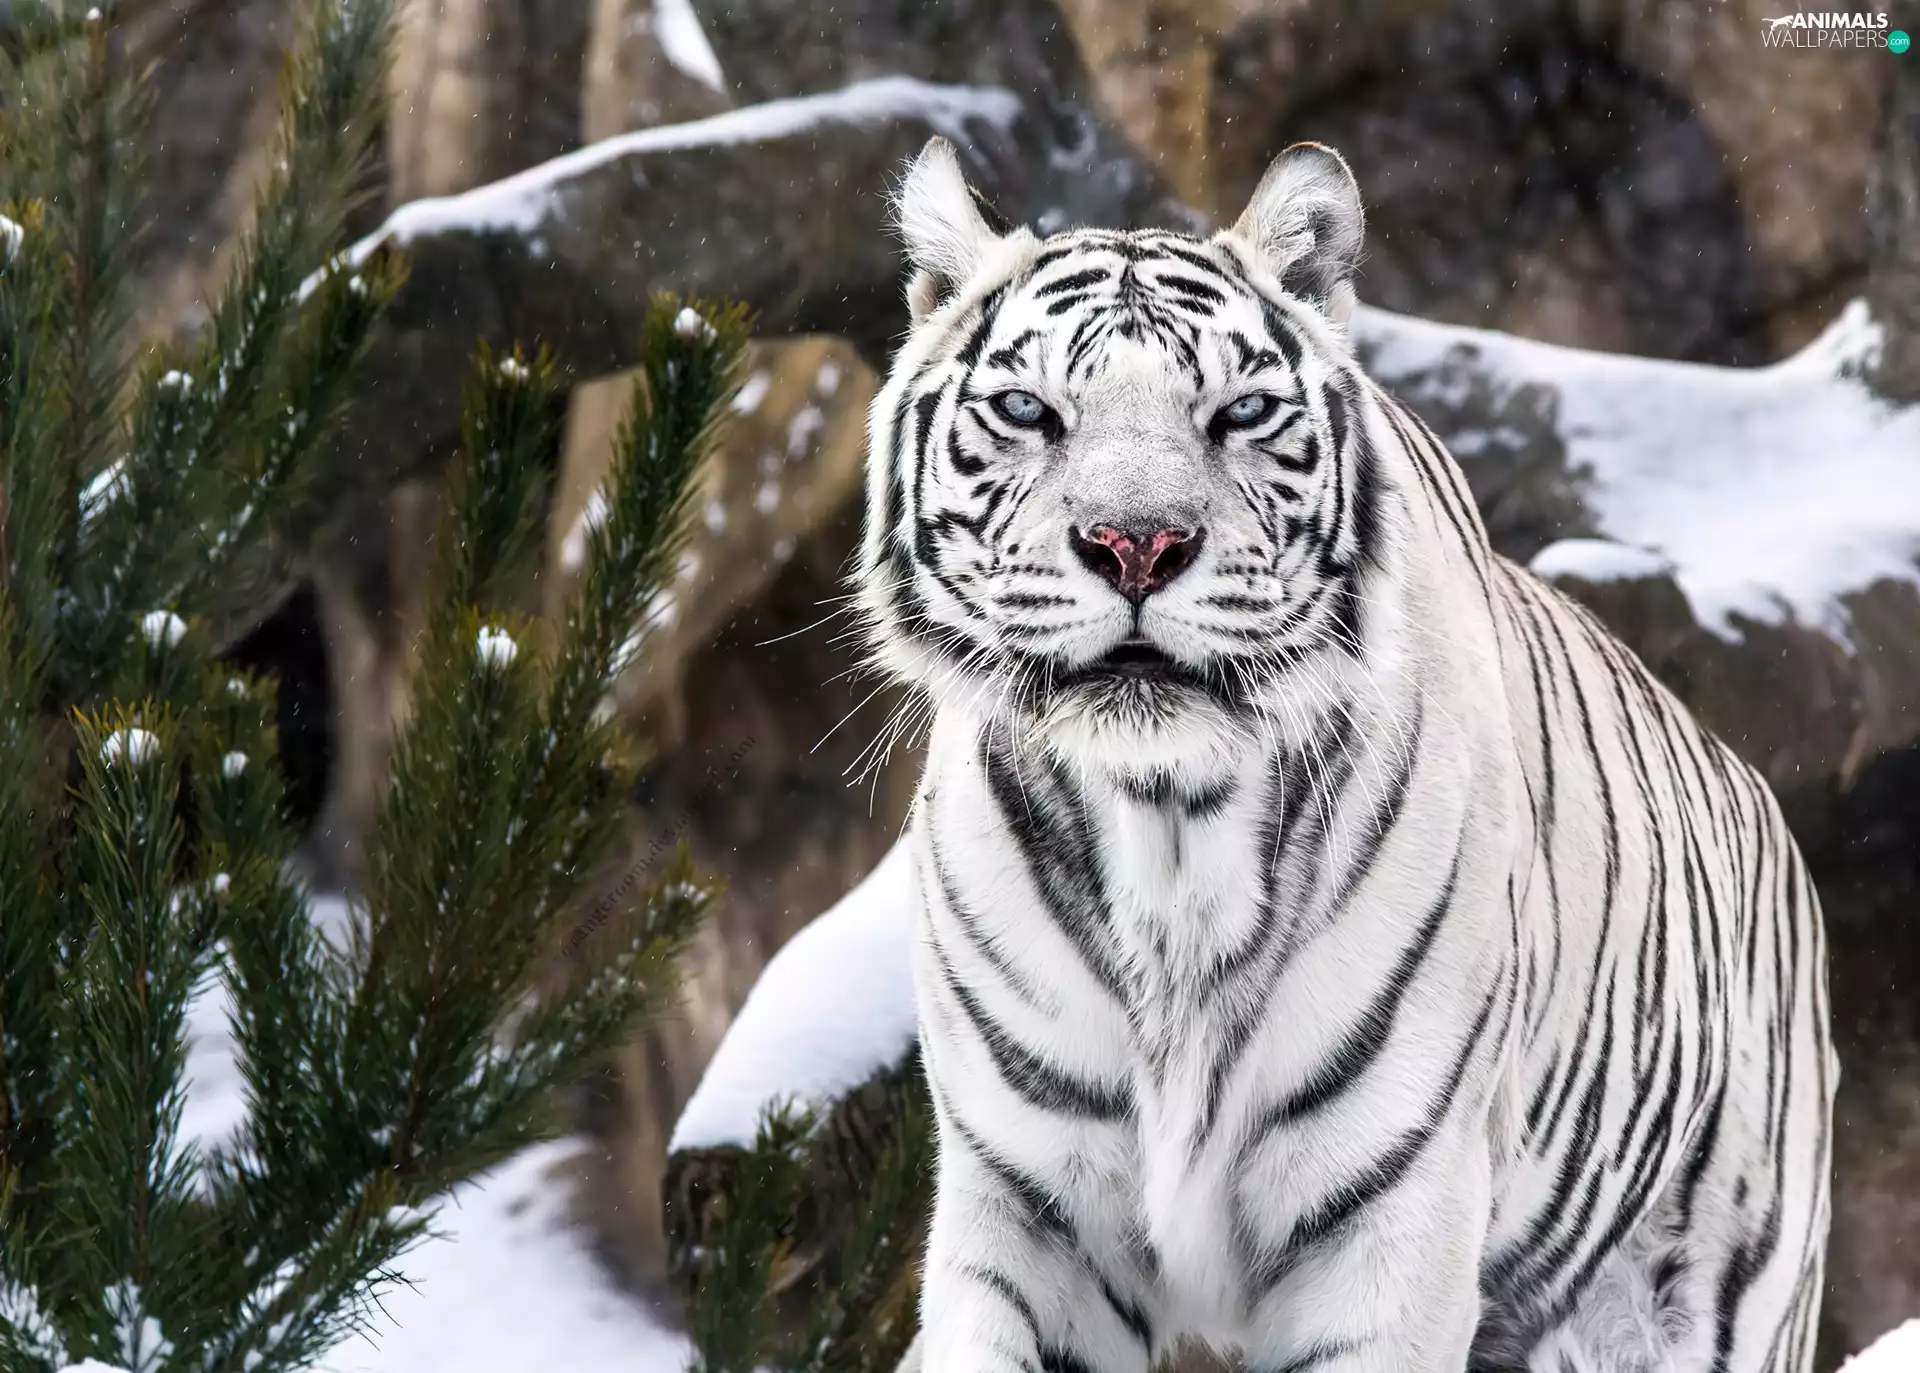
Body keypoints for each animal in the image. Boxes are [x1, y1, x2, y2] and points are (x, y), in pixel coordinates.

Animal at [853, 135, 1834, 1373]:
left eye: (1240, 412)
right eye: (1030, 409)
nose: (1138, 543)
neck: (1169, 822)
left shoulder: (1392, 1211)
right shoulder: (1029, 1208)